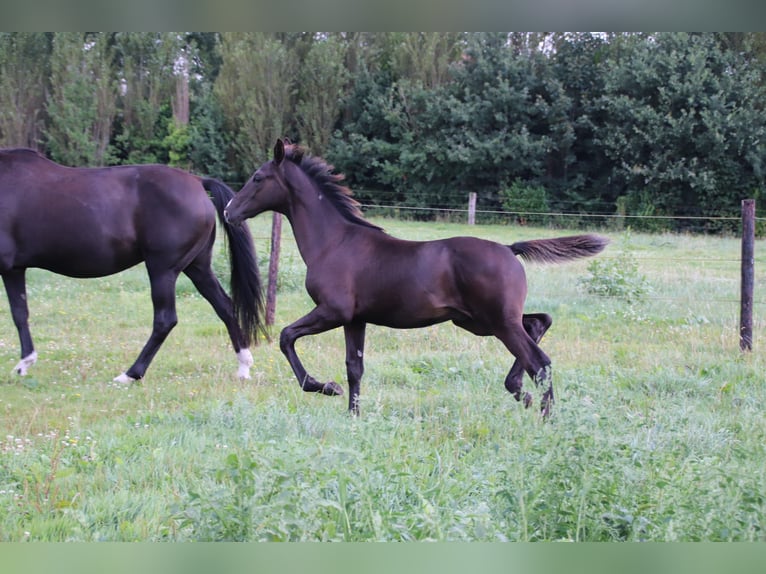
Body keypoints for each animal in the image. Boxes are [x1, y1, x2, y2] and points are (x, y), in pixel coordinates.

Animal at [0, 147, 266, 382]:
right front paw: (25, 362)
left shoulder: (7, 268)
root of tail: (197, 182)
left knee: (165, 320)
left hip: (163, 270)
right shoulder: (15, 269)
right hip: (197, 268)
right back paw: (244, 366)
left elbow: (17, 314)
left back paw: (131, 374)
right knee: (226, 307)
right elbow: (20, 313)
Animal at [225, 140, 608, 418]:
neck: (334, 242)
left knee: (539, 361)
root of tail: (509, 249)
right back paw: (521, 393)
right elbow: (354, 368)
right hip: (479, 321)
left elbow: (287, 337)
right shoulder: (355, 319)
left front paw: (325, 387)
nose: (229, 211)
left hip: (496, 321)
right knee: (539, 323)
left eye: (258, 177)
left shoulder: (332, 311)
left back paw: (544, 414)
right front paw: (352, 415)